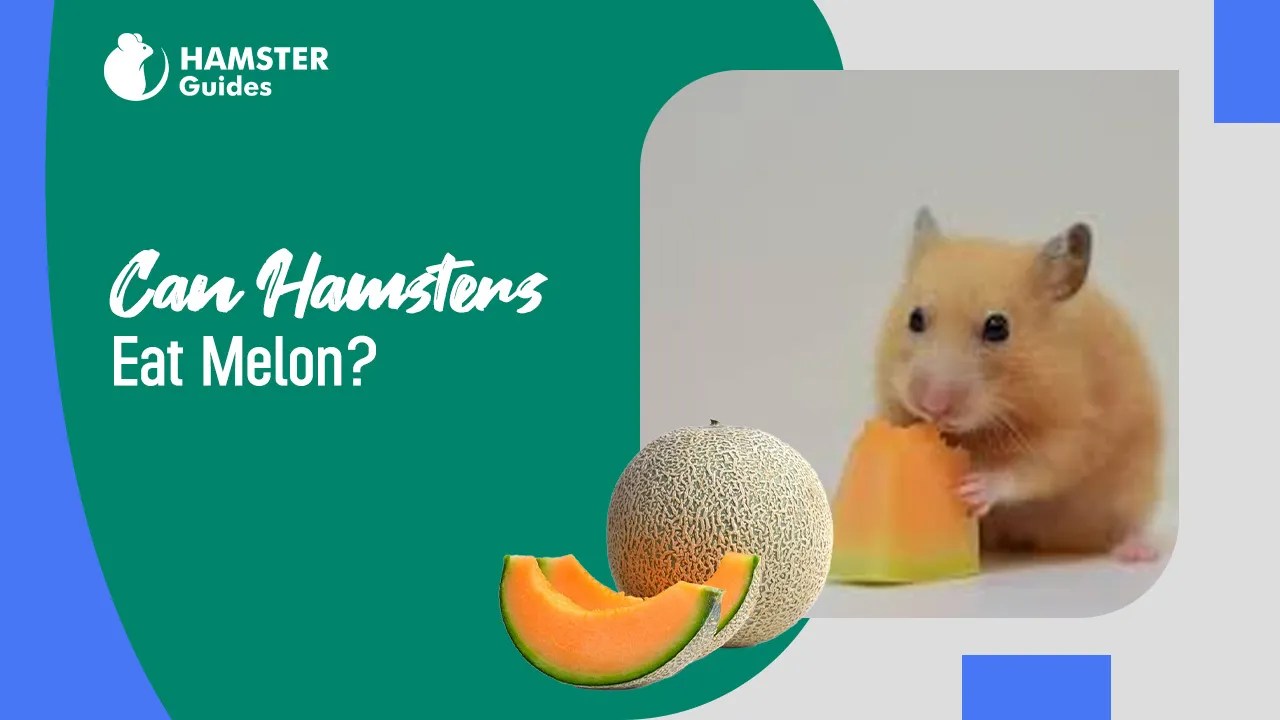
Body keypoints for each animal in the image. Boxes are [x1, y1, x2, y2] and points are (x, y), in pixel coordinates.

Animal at [872, 207, 1163, 562]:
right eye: (915, 318)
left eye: (998, 327)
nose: (932, 406)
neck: (983, 428)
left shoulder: (1072, 434)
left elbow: (1028, 471)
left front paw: (973, 488)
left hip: (1134, 487)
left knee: (1126, 524)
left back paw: (1136, 552)